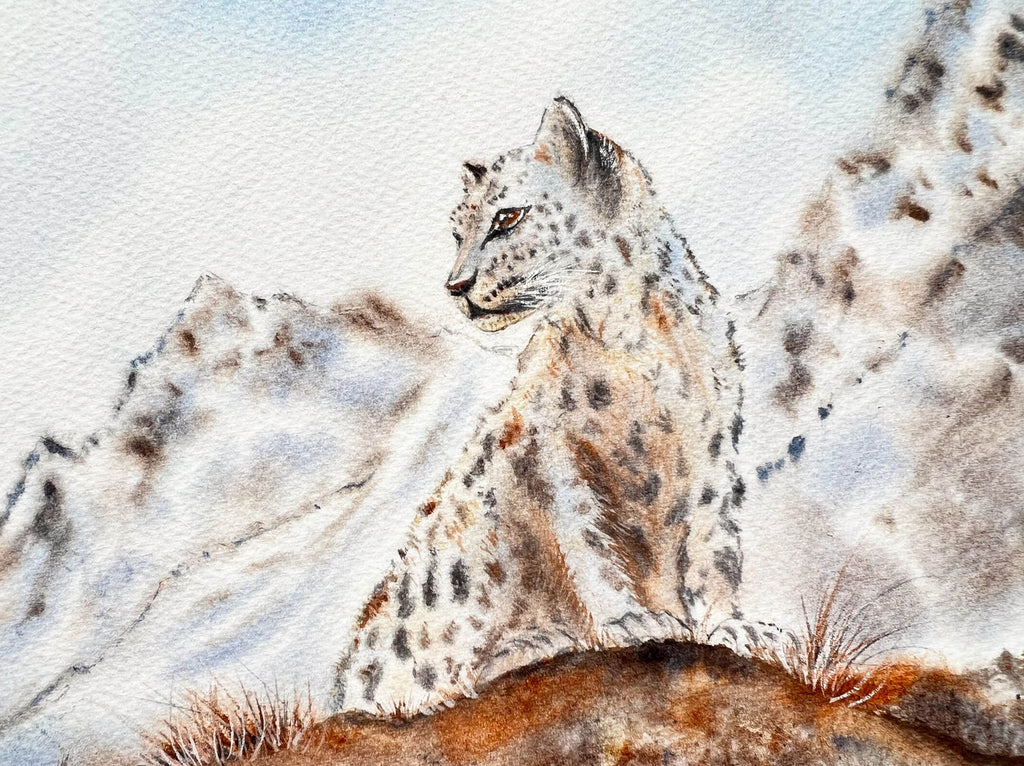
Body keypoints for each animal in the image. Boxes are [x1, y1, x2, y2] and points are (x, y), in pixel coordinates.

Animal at [332, 98, 753, 716]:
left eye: (507, 217)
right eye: (456, 233)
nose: (455, 285)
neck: (633, 342)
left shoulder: (714, 451)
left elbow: (713, 546)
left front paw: (732, 625)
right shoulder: (556, 451)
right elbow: (587, 540)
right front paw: (631, 620)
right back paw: (535, 641)